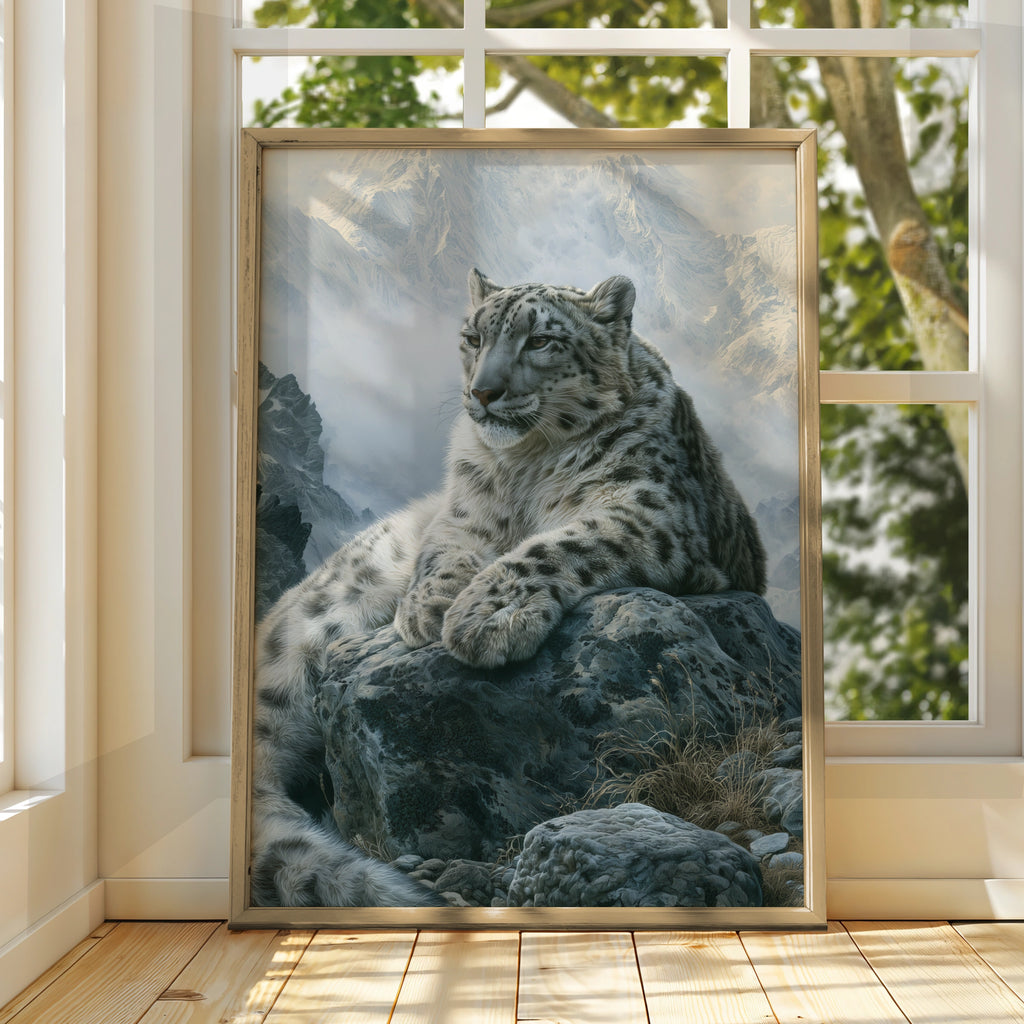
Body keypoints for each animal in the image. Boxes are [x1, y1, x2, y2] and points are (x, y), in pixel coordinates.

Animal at [249, 269, 767, 907]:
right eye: (473, 337)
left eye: (541, 340)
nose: (484, 392)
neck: (526, 465)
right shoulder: (459, 512)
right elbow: (443, 547)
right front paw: (427, 607)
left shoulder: (652, 512)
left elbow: (561, 542)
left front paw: (485, 618)